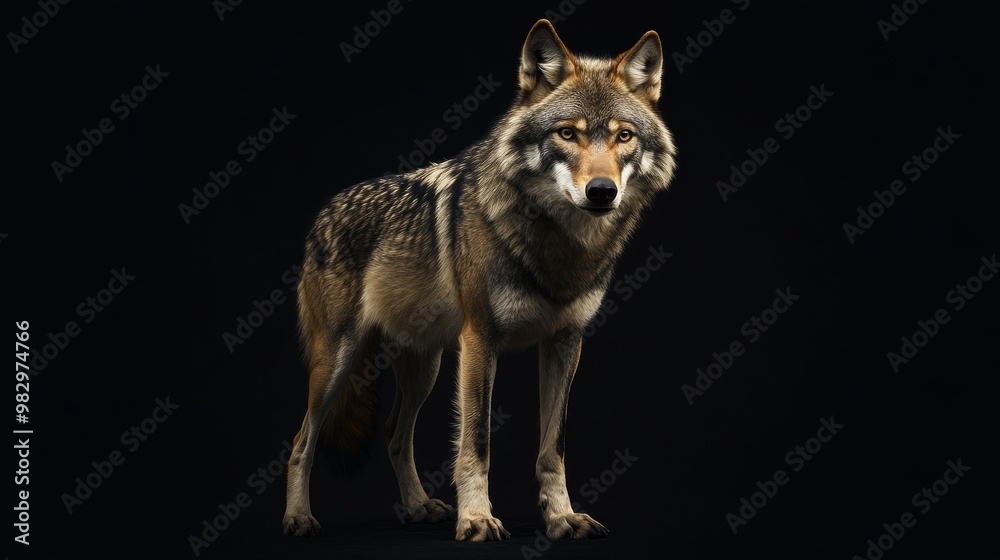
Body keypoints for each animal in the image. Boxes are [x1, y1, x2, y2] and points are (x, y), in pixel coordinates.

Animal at [283, 19, 676, 542]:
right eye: (567, 133)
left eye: (625, 136)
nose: (601, 192)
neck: (560, 247)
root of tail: (324, 214)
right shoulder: (479, 340)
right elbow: (477, 442)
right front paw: (477, 518)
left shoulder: (566, 342)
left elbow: (553, 448)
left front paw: (562, 516)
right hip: (339, 361)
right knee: (302, 439)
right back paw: (298, 517)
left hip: (424, 368)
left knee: (394, 435)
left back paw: (418, 506)